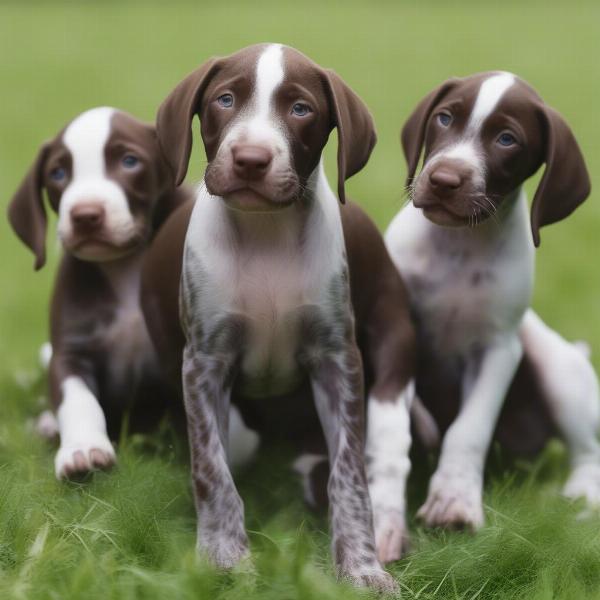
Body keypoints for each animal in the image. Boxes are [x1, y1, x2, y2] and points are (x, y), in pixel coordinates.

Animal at [142, 43, 420, 592]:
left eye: (300, 109)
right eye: (225, 99)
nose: (251, 160)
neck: (265, 234)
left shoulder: (337, 360)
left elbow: (349, 473)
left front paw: (361, 566)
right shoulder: (203, 363)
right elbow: (212, 468)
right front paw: (225, 558)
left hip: (392, 341)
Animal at [384, 72, 600, 532]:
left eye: (507, 139)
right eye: (444, 118)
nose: (444, 180)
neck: (461, 245)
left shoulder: (497, 349)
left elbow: (469, 429)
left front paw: (454, 500)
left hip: (557, 367)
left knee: (587, 451)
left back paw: (580, 498)